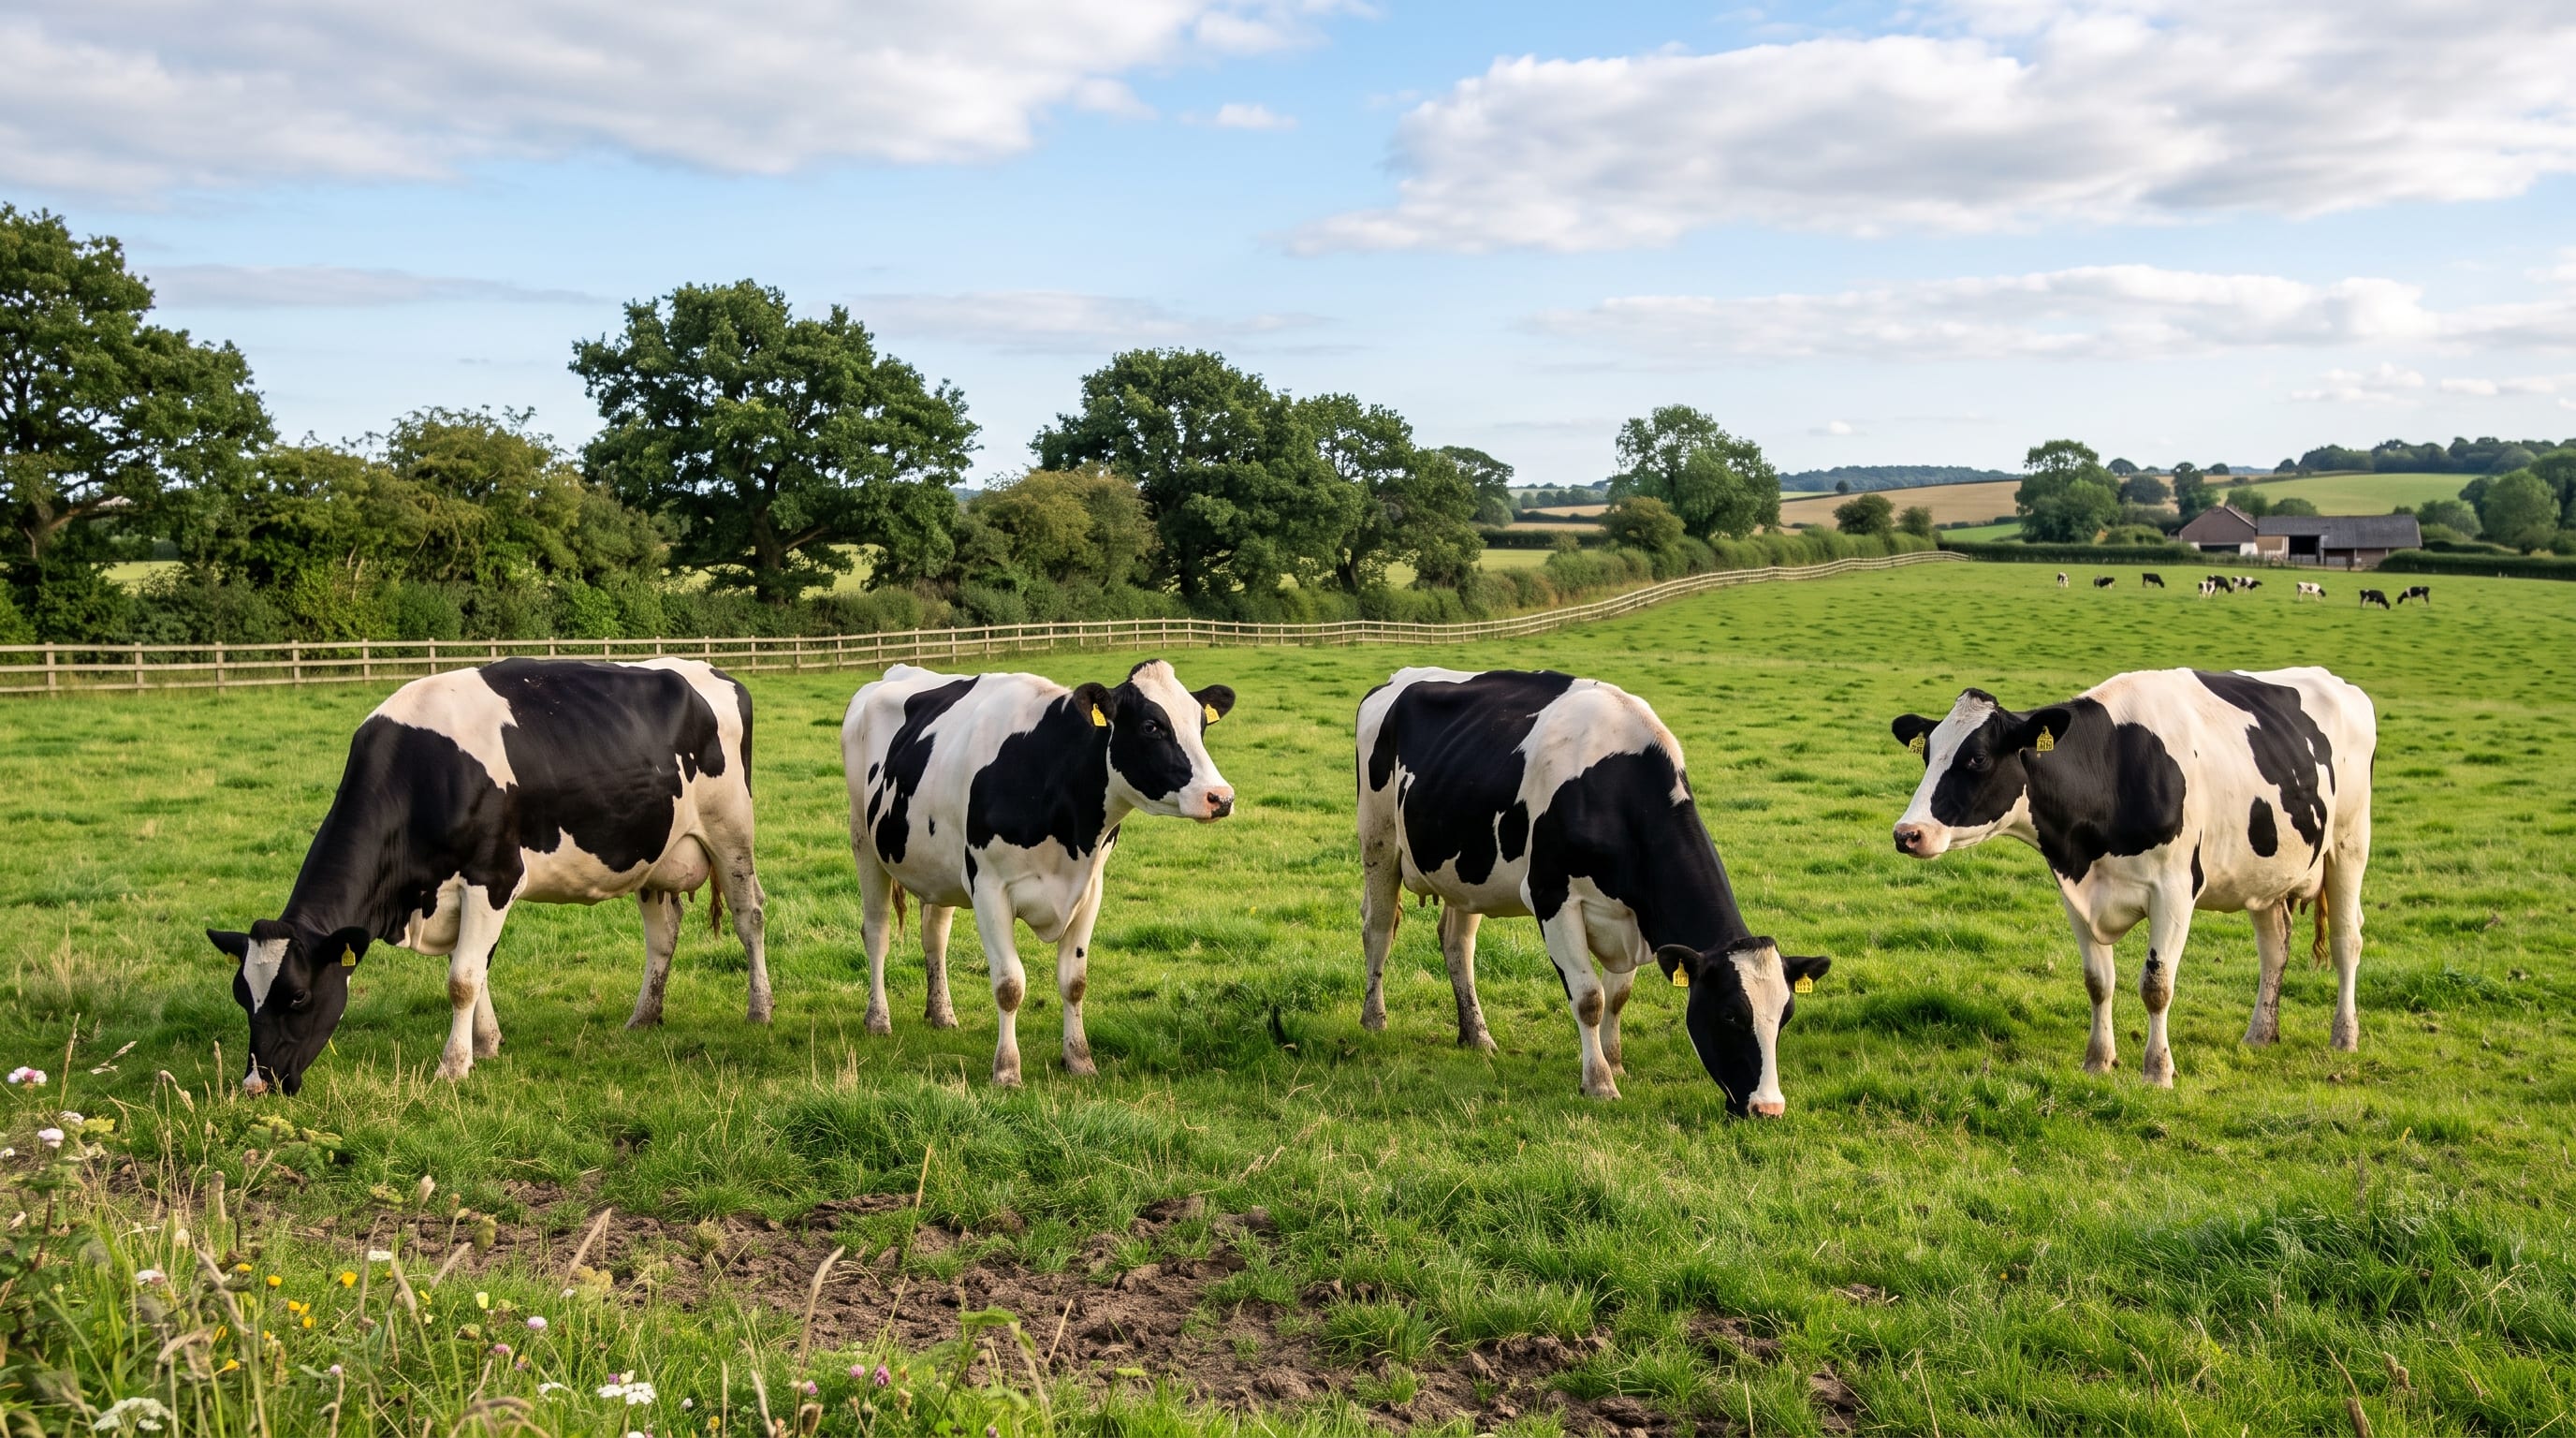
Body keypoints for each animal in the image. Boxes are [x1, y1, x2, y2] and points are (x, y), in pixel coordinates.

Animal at [208, 659, 766, 1096]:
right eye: (241, 995)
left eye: (298, 996)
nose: (255, 1085)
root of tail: (713, 672)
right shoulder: (452, 892)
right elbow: (477, 970)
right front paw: (487, 1043)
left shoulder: (493, 877)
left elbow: (462, 979)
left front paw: (453, 1066)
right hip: (651, 852)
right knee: (662, 935)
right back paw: (644, 1017)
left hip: (731, 830)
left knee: (750, 916)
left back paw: (759, 1011)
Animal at [844, 660, 1235, 1086]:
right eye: (1151, 726)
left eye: (1201, 724)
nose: (1221, 797)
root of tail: (894, 672)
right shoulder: (988, 887)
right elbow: (1009, 984)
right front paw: (1006, 1071)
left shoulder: (1089, 889)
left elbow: (1074, 982)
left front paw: (1079, 1059)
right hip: (863, 839)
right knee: (877, 931)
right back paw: (877, 1019)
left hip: (937, 866)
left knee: (935, 936)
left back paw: (942, 1013)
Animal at [1357, 668, 1829, 1114]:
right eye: (1730, 1014)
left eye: (1785, 1016)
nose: (1768, 1108)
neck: (1615, 791)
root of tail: (1398, 678)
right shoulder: (1553, 898)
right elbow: (1589, 998)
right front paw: (1600, 1082)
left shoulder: (1634, 919)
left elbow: (1618, 997)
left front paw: (1615, 1062)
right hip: (1378, 839)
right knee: (1378, 931)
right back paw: (1374, 1020)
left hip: (1467, 871)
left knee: (1458, 945)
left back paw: (1477, 1036)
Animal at [1888, 668, 2375, 1086]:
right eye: (1928, 754)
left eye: (1976, 758)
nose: (1907, 833)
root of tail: (2341, 683)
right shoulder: (2075, 892)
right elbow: (2098, 982)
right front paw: (2098, 1060)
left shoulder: (2175, 892)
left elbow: (2156, 986)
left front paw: (2157, 1071)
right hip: (2263, 871)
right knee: (2274, 945)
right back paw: (2259, 1035)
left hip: (2350, 841)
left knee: (2347, 939)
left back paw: (2344, 1037)